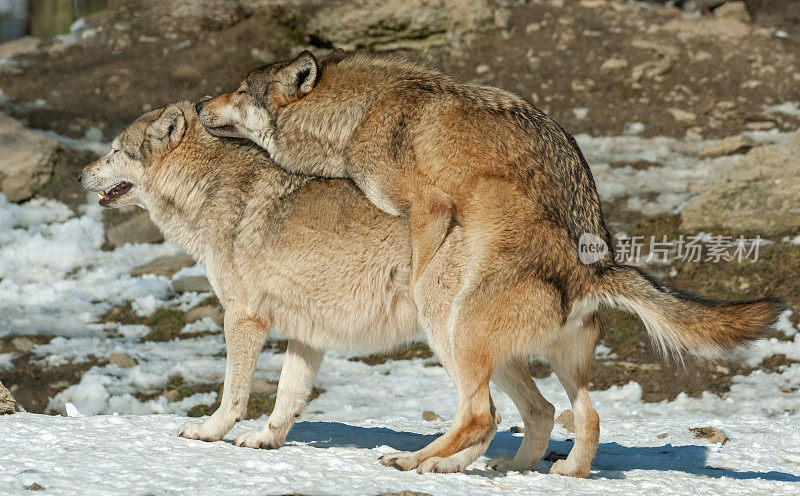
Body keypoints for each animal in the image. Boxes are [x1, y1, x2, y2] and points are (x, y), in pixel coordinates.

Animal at [78, 102, 780, 478]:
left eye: (113, 149)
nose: (82, 172)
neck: (210, 191)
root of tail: (586, 254)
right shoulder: (307, 338)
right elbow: (285, 401)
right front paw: (266, 441)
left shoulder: (243, 322)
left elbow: (232, 394)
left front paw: (211, 432)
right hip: (527, 360)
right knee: (565, 414)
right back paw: (526, 471)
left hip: (451, 336)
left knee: (484, 415)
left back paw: (421, 464)